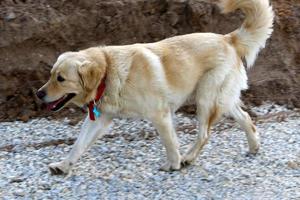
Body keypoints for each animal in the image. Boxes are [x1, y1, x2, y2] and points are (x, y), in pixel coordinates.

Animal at [36, 0, 274, 174]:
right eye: (51, 75)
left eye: (61, 79)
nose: (38, 94)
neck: (108, 72)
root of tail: (228, 38)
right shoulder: (99, 120)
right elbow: (78, 145)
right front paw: (63, 166)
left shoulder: (160, 114)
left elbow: (169, 143)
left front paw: (173, 164)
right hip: (221, 99)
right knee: (246, 118)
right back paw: (254, 146)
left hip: (206, 99)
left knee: (205, 134)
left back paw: (188, 157)